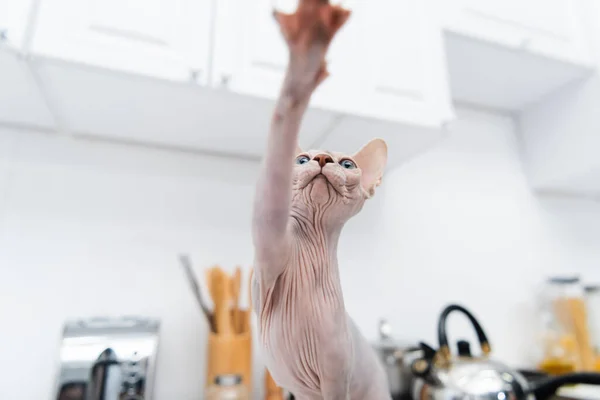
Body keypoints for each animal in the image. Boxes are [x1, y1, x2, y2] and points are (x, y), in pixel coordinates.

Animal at [251, 1, 392, 398]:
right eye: (301, 159)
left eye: (347, 164)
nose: (324, 159)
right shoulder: (269, 252)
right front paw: (304, 59)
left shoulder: (335, 379)